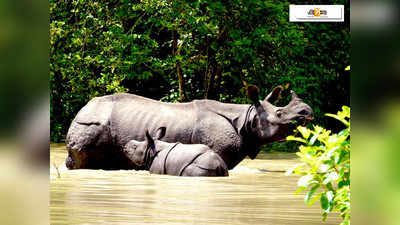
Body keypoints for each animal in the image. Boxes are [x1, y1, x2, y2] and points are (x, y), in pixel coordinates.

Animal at [65, 85, 314, 170]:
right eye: (280, 113)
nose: (307, 112)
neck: (247, 118)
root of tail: (83, 109)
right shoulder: (219, 150)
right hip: (91, 125)